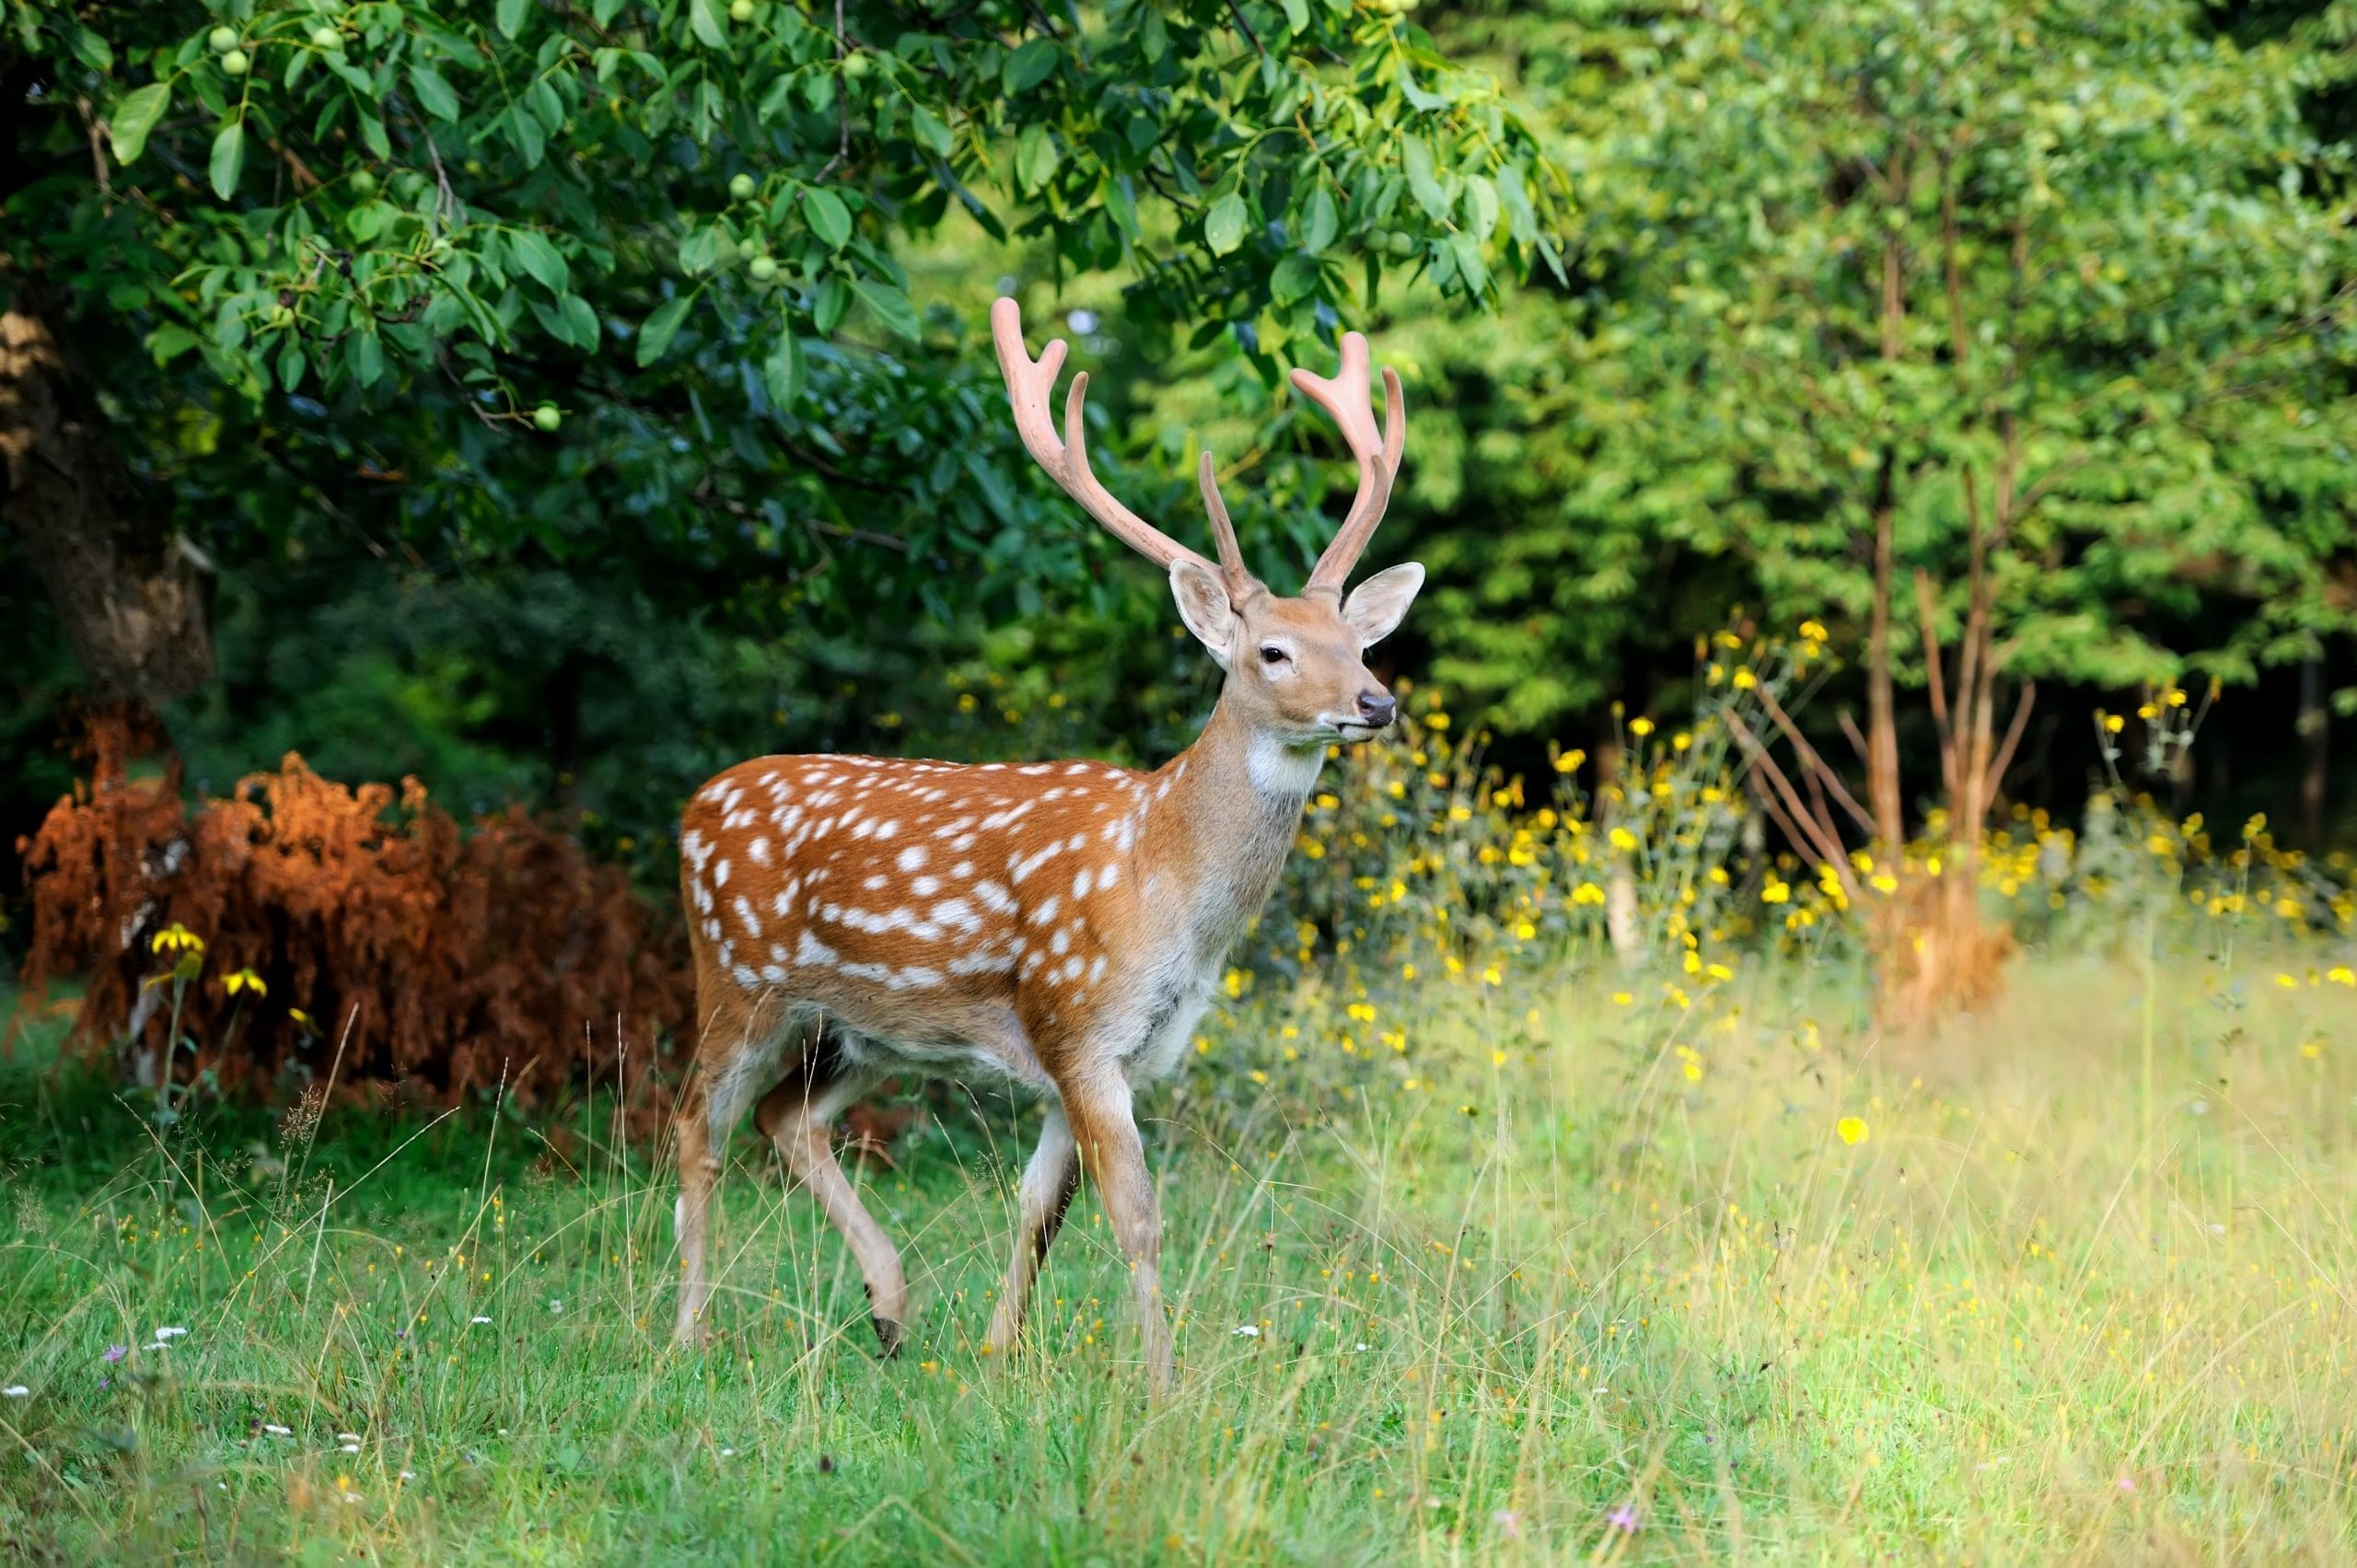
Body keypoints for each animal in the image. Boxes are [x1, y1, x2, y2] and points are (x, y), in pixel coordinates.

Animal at [664, 299, 1414, 1386]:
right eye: (1273, 651)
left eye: (1358, 643)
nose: (1375, 701)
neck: (1166, 880)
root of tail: (692, 807)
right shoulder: (1078, 1017)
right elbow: (1136, 1217)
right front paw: (1161, 1383)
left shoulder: (1113, 1049)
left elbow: (1039, 1204)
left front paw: (999, 1348)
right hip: (734, 973)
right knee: (697, 1121)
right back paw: (688, 1330)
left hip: (861, 1024)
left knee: (785, 1118)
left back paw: (889, 1307)